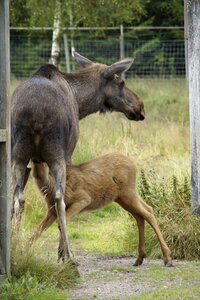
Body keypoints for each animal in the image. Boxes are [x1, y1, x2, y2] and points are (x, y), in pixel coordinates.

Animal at [11, 52, 145, 262]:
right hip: (56, 155)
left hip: (18, 156)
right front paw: (62, 254)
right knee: (59, 199)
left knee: (18, 198)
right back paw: (69, 256)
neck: (81, 103)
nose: (140, 106)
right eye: (121, 82)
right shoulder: (69, 153)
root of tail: (35, 114)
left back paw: (15, 247)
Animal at [30, 154, 172, 266]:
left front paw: (67, 258)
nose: (35, 160)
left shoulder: (82, 199)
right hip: (122, 198)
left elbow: (61, 224)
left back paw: (167, 258)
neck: (51, 188)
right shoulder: (52, 210)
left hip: (128, 192)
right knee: (141, 214)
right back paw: (139, 259)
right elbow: (38, 231)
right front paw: (27, 251)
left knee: (148, 212)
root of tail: (134, 165)